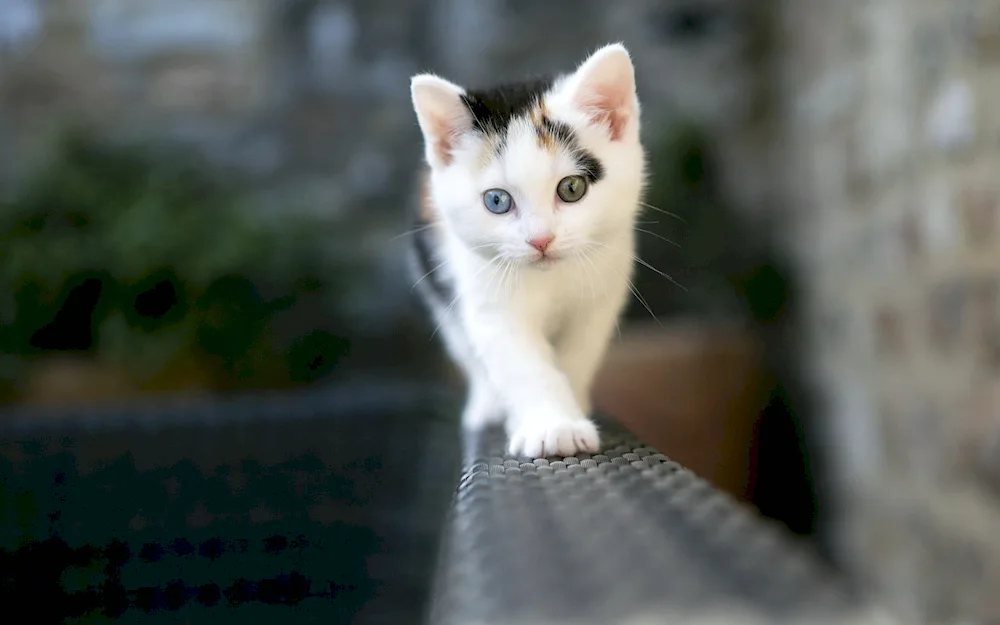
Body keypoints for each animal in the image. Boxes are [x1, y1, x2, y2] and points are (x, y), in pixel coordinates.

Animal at [410, 42, 644, 454]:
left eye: (571, 188)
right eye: (497, 201)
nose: (540, 240)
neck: (550, 278)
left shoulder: (601, 293)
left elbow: (578, 354)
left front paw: (572, 408)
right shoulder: (485, 296)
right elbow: (519, 361)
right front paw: (553, 425)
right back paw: (487, 406)